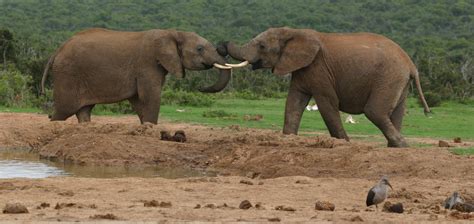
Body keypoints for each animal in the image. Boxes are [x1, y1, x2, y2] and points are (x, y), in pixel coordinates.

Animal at [42, 28, 233, 124]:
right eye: (200, 49)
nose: (201, 87)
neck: (173, 32)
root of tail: (58, 49)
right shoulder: (147, 63)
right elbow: (150, 95)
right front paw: (150, 127)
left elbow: (138, 98)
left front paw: (145, 127)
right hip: (68, 74)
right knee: (64, 110)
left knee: (83, 110)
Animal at [220, 27, 432, 148]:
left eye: (262, 46)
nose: (222, 45)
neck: (293, 31)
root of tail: (411, 65)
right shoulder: (303, 68)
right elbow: (294, 102)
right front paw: (288, 139)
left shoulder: (319, 68)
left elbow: (327, 103)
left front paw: (344, 143)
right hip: (398, 80)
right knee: (396, 112)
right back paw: (395, 146)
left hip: (388, 77)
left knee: (375, 112)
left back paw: (401, 144)